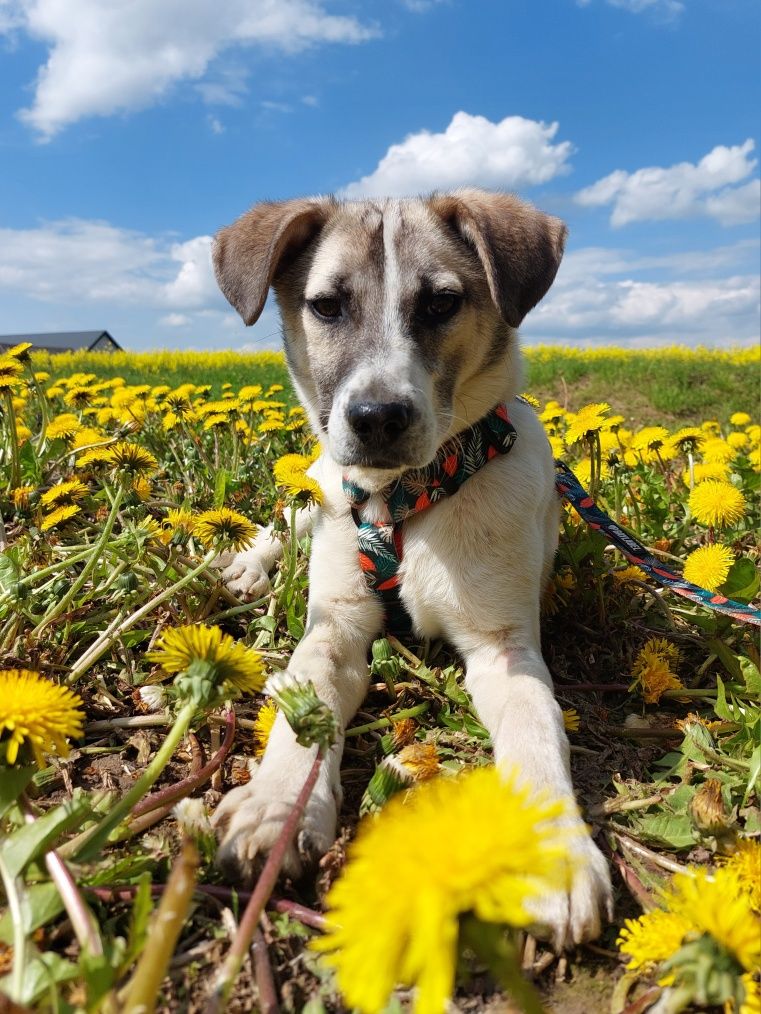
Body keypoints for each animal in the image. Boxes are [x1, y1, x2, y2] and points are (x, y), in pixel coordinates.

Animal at [212, 190, 616, 949]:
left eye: (441, 303)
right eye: (326, 305)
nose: (376, 418)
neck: (406, 498)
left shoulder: (503, 647)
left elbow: (536, 733)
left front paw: (551, 857)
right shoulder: (335, 625)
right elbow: (304, 706)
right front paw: (276, 806)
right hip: (316, 488)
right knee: (287, 519)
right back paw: (247, 564)